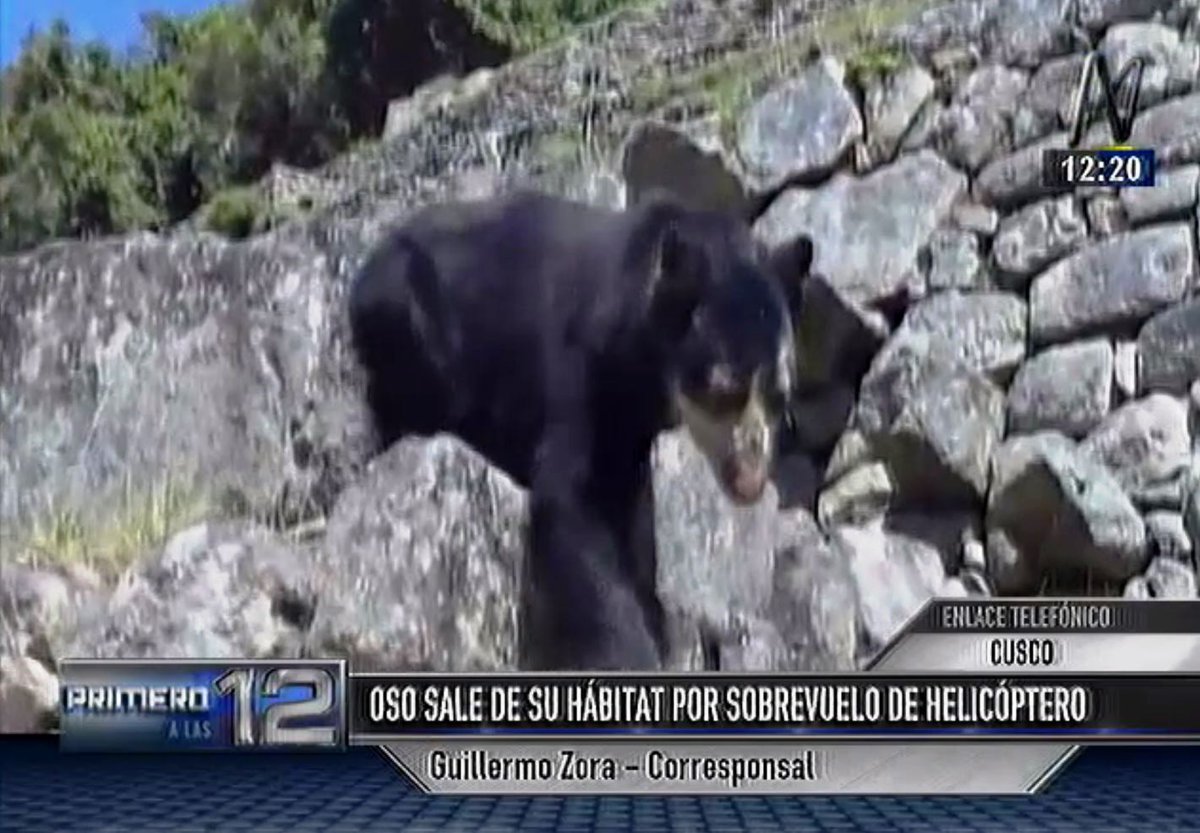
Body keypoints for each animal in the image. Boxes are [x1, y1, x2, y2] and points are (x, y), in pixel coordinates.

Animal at [347, 190, 814, 671]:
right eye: (724, 390)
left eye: (779, 395)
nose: (751, 480)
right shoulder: (579, 369)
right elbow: (572, 503)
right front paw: (632, 650)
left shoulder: (632, 423)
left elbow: (632, 509)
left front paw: (655, 617)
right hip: (407, 323)